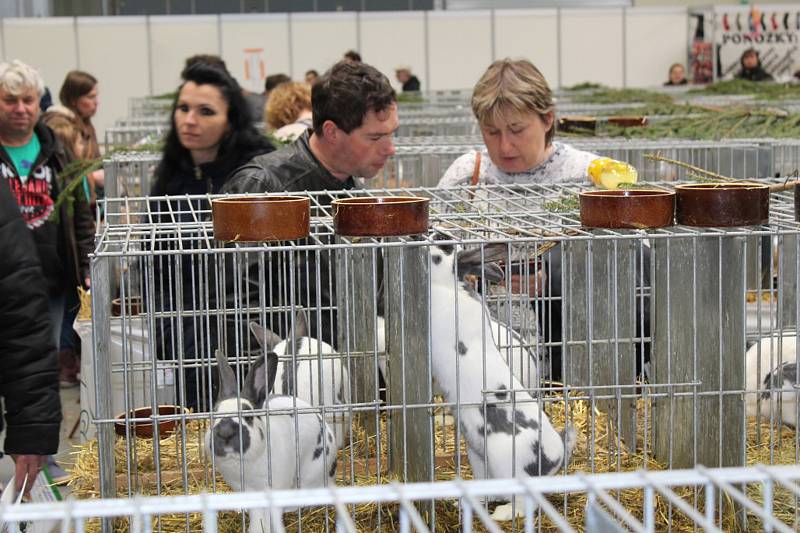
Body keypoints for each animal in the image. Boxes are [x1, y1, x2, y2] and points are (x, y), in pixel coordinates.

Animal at [432, 242, 576, 520]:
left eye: (441, 248)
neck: (450, 288)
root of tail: (557, 458)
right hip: (479, 457)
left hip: (504, 461)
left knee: (524, 504)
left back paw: (502, 514)